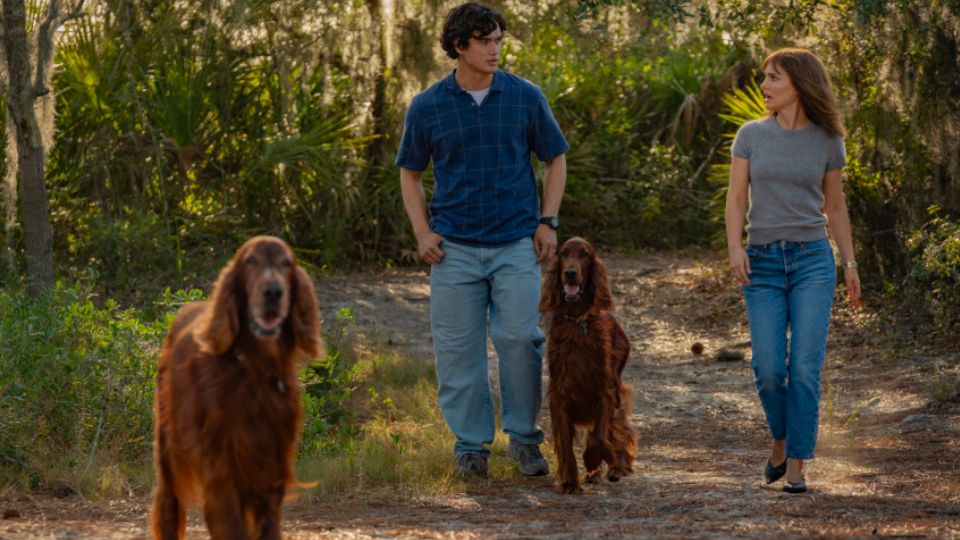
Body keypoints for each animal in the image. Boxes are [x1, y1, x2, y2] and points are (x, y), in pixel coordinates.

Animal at [151, 237, 322, 540]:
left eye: (287, 263)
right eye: (251, 261)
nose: (273, 292)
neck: (254, 369)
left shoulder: (270, 467)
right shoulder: (221, 470)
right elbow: (231, 526)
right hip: (168, 447)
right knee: (168, 504)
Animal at [540, 236, 636, 494]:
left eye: (584, 255)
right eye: (563, 253)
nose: (570, 273)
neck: (577, 322)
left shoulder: (604, 391)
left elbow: (599, 437)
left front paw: (594, 460)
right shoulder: (559, 397)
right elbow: (565, 444)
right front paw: (570, 482)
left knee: (620, 428)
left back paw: (617, 467)